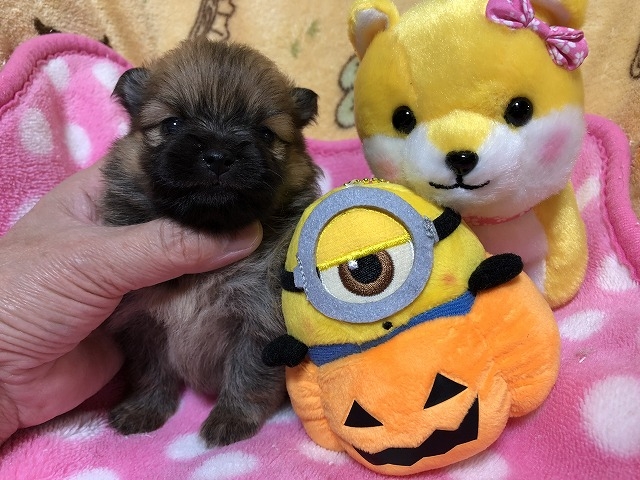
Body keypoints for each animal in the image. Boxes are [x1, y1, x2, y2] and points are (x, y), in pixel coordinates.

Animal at [99, 37, 321, 446]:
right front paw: (144, 409)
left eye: (265, 134)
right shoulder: (143, 321)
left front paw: (231, 420)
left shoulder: (259, 321)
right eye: (171, 124)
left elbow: (248, 376)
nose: (218, 156)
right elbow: (152, 371)